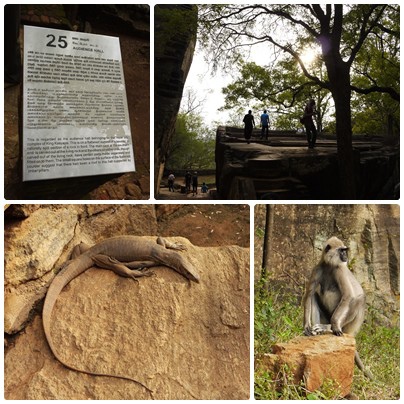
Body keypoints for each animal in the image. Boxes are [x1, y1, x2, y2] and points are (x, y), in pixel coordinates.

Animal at [304, 237, 374, 378]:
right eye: (342, 250)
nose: (345, 255)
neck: (329, 266)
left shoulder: (340, 270)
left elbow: (348, 296)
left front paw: (334, 327)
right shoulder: (317, 269)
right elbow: (309, 295)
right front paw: (306, 326)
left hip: (350, 325)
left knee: (358, 299)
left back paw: (328, 328)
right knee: (314, 295)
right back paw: (318, 330)